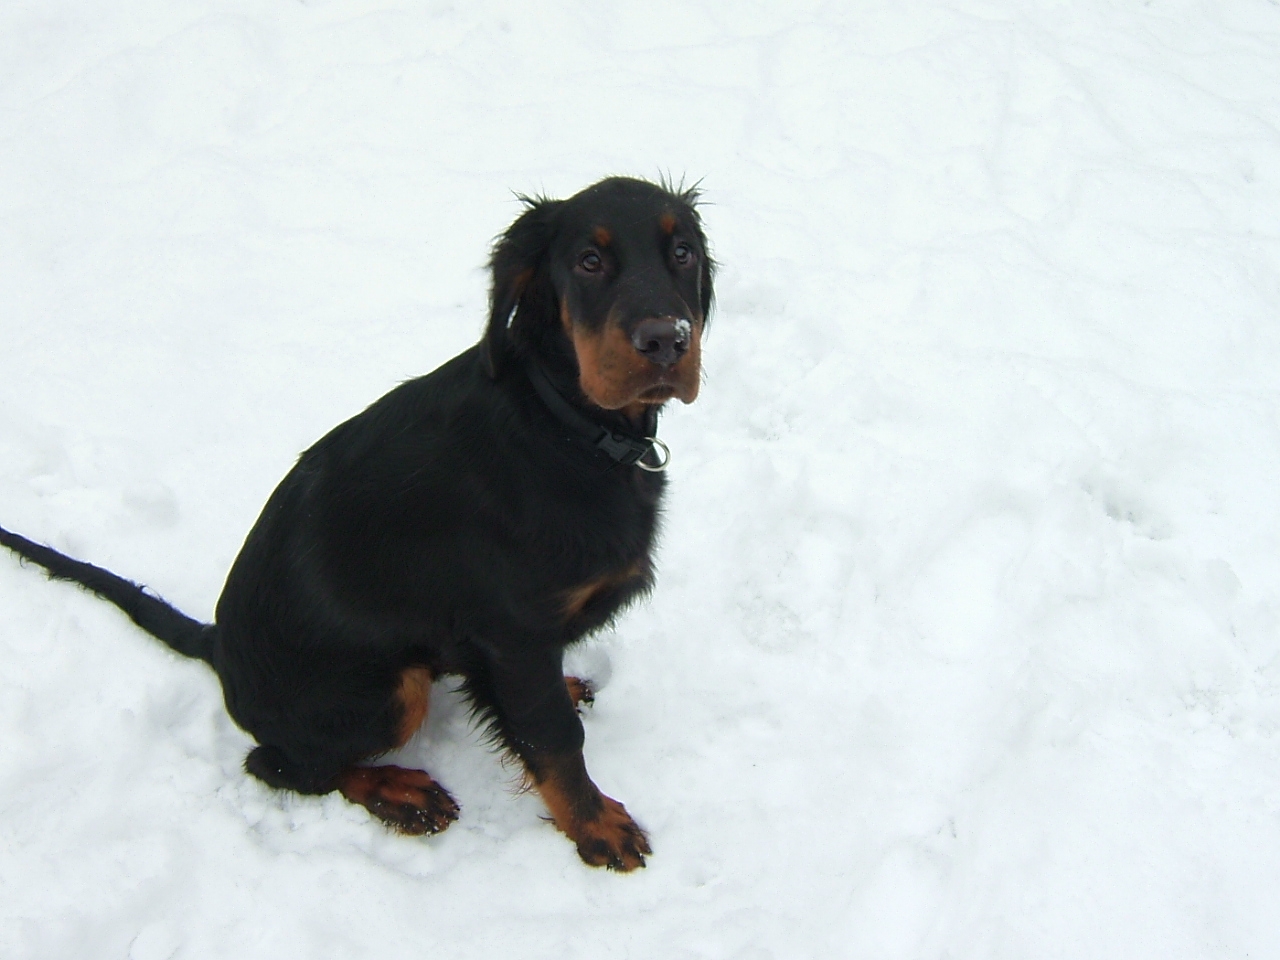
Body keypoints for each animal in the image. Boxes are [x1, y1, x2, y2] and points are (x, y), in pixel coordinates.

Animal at [0, 175, 711, 870]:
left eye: (683, 254)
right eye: (589, 261)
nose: (667, 340)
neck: (566, 424)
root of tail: (219, 648)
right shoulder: (516, 630)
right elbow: (554, 737)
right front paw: (596, 827)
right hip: (387, 690)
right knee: (280, 763)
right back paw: (400, 791)